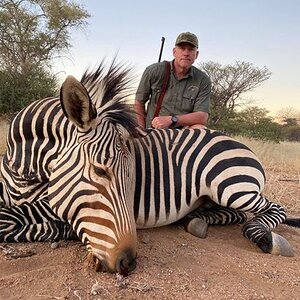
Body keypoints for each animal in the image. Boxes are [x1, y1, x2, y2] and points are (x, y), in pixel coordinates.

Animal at [0, 57, 298, 276]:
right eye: (100, 171)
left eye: (132, 177)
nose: (128, 263)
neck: (22, 173)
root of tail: (240, 143)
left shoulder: (52, 203)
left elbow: (8, 221)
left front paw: (67, 231)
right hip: (217, 195)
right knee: (234, 214)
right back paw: (195, 220)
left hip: (230, 186)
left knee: (271, 209)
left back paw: (267, 239)